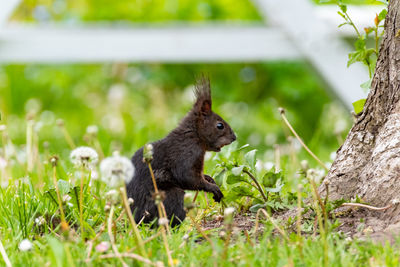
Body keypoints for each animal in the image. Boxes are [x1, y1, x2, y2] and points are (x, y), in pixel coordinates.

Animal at [126, 76, 236, 227]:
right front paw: (212, 187)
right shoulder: (186, 155)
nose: (234, 137)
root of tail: (136, 218)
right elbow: (188, 177)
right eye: (220, 125)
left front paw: (210, 179)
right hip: (172, 198)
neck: (193, 136)